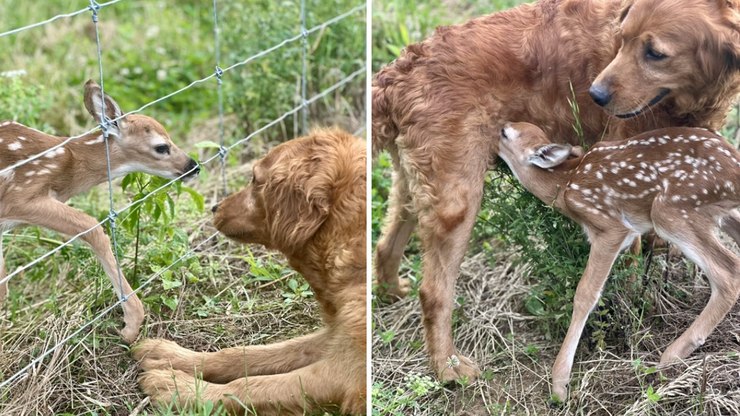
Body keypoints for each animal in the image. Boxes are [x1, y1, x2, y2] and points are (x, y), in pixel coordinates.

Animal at [0, 80, 200, 343]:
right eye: (161, 147)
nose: (193, 166)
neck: (70, 165)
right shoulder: (18, 194)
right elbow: (91, 225)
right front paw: (131, 325)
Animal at [496, 121, 740, 402]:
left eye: (505, 133)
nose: (499, 126)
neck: (565, 183)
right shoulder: (629, 234)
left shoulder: (609, 227)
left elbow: (585, 294)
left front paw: (559, 384)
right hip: (721, 213)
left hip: (672, 210)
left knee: (729, 271)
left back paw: (669, 358)